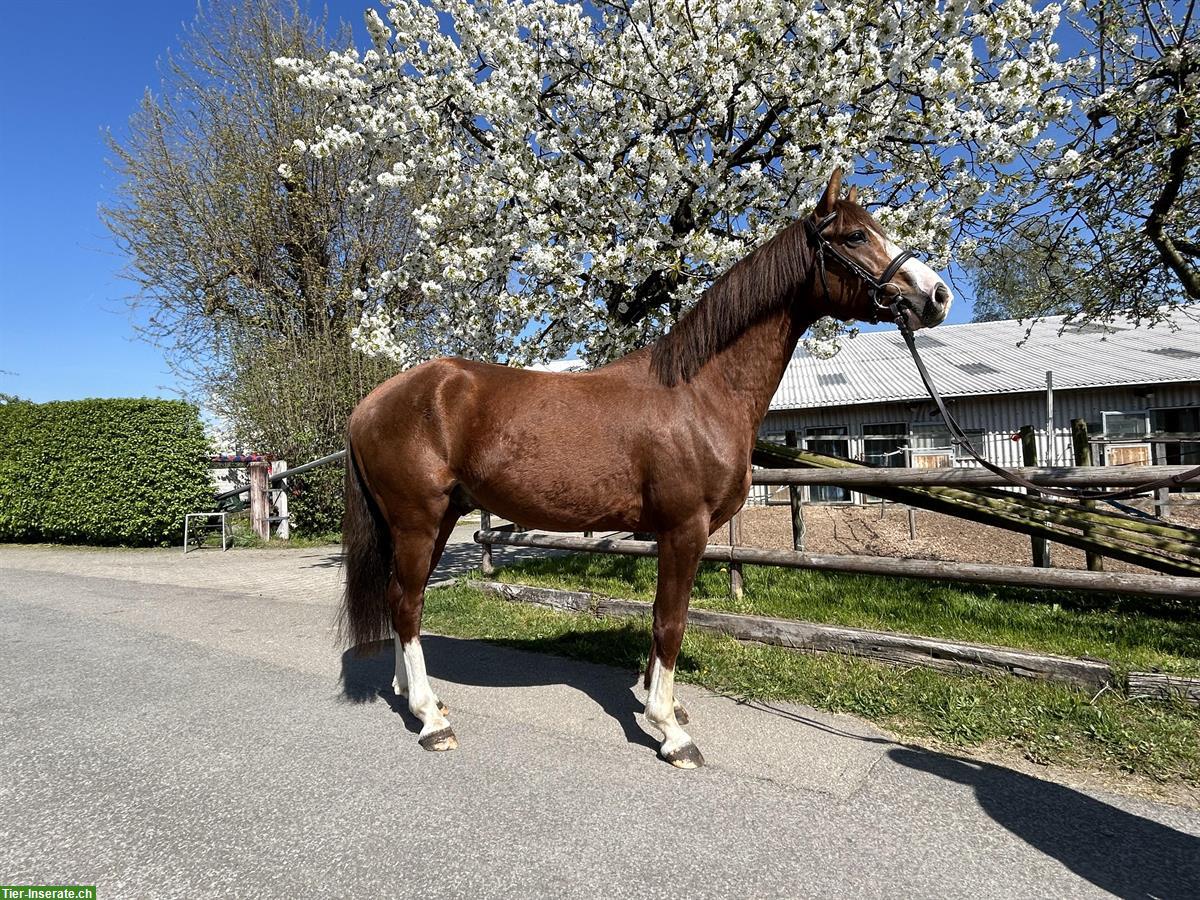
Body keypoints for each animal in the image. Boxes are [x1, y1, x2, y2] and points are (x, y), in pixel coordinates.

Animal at [343, 170, 950, 768]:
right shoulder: (685, 529)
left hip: (439, 519)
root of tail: (371, 403)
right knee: (408, 605)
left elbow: (663, 623)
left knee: (402, 600)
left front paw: (667, 707)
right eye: (855, 236)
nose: (937, 295)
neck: (698, 393)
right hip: (418, 521)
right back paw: (431, 721)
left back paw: (416, 696)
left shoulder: (671, 534)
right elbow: (671, 621)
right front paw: (670, 732)